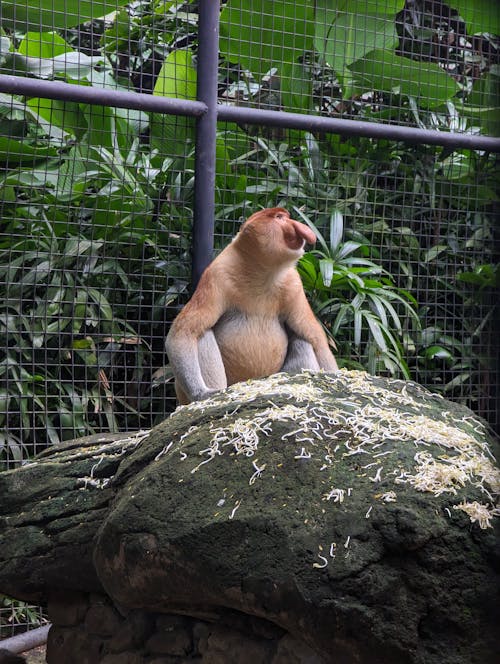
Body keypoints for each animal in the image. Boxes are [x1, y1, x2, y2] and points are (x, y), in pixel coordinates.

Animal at [166, 209, 338, 404]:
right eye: (279, 218)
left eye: (284, 216)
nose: (301, 228)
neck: (261, 271)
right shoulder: (216, 276)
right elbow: (183, 332)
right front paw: (201, 394)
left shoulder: (294, 285)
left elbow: (316, 339)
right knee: (202, 334)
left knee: (303, 342)